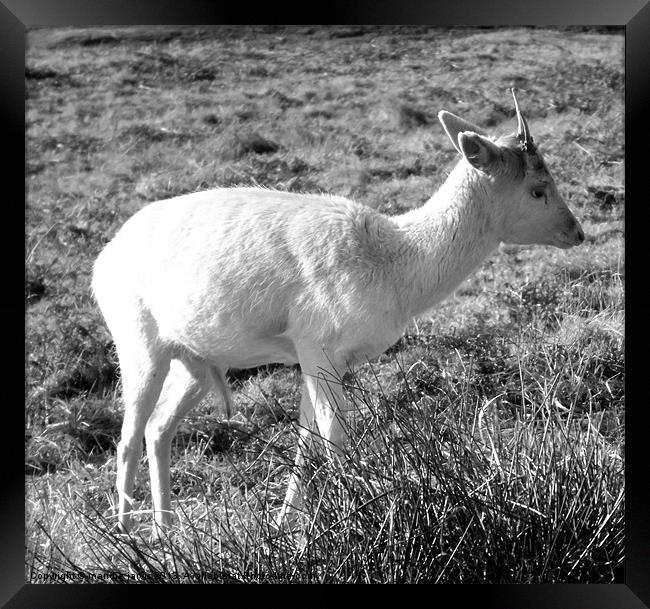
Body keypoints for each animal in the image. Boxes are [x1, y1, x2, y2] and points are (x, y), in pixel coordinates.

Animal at [91, 89, 584, 532]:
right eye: (538, 188)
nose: (577, 232)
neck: (396, 270)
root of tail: (101, 261)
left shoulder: (316, 356)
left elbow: (308, 436)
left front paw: (286, 526)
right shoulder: (317, 342)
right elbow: (333, 435)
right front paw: (353, 520)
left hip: (195, 360)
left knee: (158, 427)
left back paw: (166, 530)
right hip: (136, 340)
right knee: (128, 433)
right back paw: (125, 529)